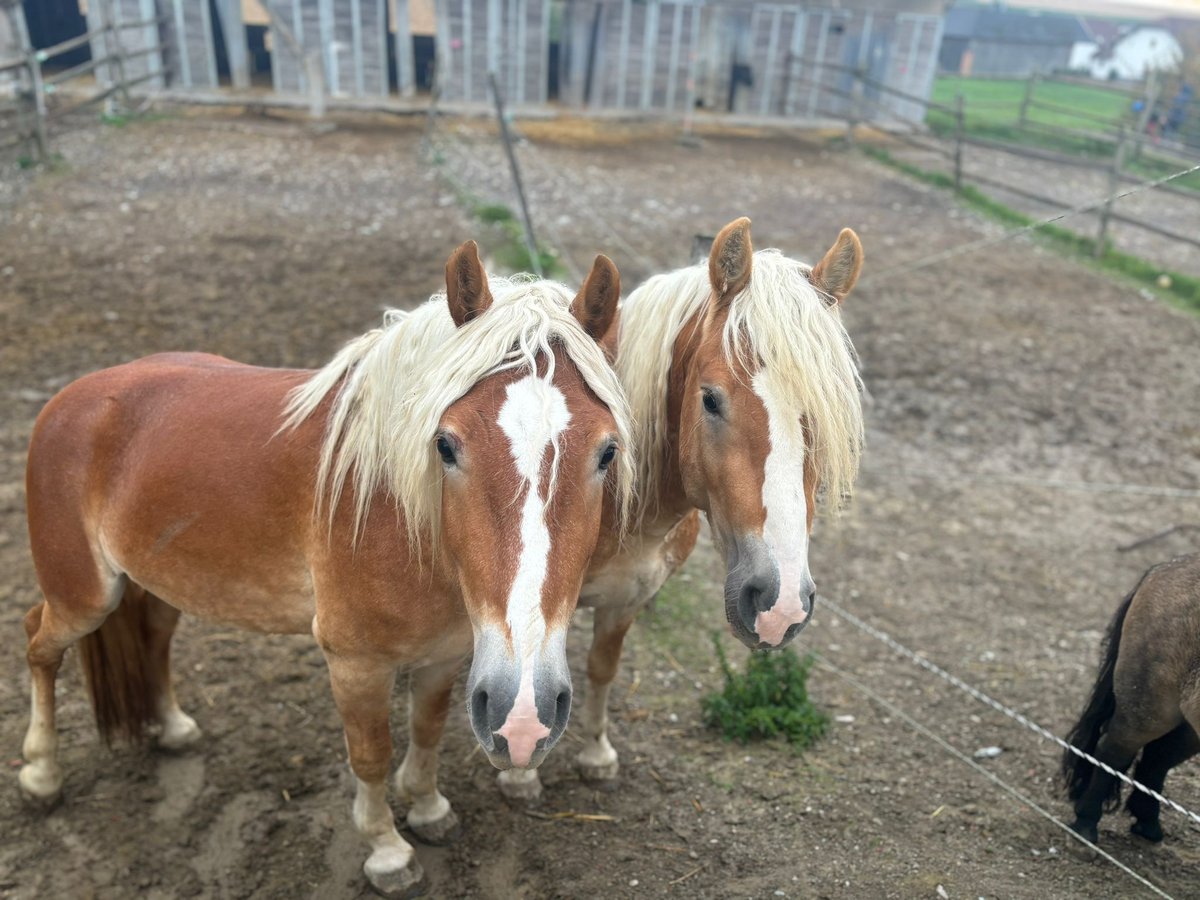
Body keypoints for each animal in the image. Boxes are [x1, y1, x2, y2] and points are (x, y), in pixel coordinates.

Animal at [18, 243, 633, 897]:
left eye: (607, 452)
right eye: (445, 445)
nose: (524, 719)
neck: (399, 515)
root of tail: (72, 398)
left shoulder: (445, 655)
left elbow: (427, 731)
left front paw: (428, 809)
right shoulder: (355, 663)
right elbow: (370, 754)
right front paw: (387, 851)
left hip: (155, 580)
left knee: (153, 635)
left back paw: (173, 727)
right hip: (85, 595)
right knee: (39, 643)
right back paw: (40, 775)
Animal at [494, 218, 864, 801]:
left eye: (824, 415)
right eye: (710, 399)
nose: (780, 605)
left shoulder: (628, 598)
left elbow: (601, 668)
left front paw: (596, 754)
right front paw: (520, 772)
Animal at [1065, 556, 1195, 844]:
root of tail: (1165, 566)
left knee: (1161, 756)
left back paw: (1148, 824)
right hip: (1148, 708)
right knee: (1114, 751)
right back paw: (1085, 824)